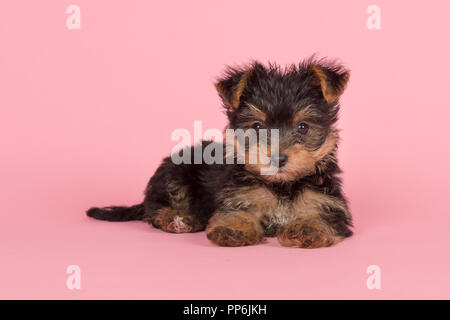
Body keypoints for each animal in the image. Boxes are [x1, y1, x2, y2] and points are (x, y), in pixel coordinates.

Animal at [87, 57, 352, 248]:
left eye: (303, 127)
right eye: (257, 127)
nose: (278, 158)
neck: (281, 186)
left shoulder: (329, 203)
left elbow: (322, 216)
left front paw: (306, 227)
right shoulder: (237, 195)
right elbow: (234, 212)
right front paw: (234, 228)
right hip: (174, 174)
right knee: (155, 209)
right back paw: (177, 220)